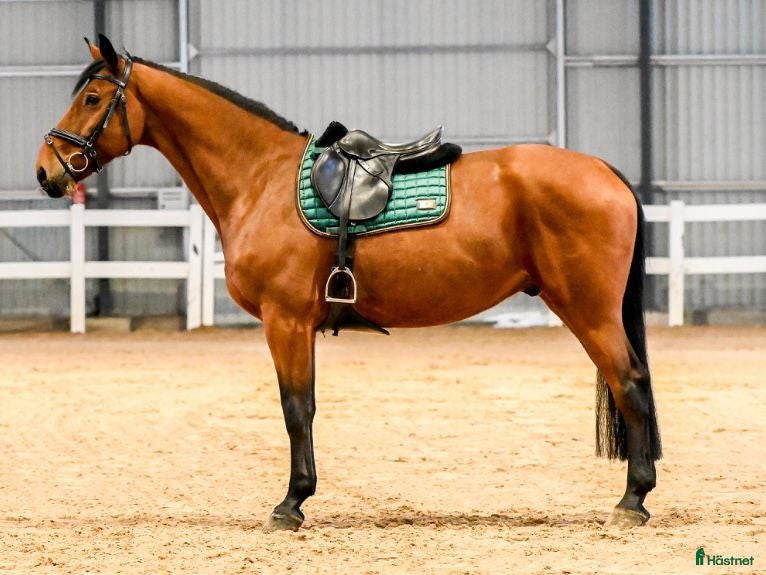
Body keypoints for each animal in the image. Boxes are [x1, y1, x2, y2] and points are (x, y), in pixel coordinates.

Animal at [35, 35, 661, 532]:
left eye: (93, 98)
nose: (46, 170)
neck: (261, 178)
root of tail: (604, 171)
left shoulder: (285, 322)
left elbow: (295, 409)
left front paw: (291, 504)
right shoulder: (300, 326)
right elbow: (305, 407)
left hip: (588, 310)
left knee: (629, 383)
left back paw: (632, 501)